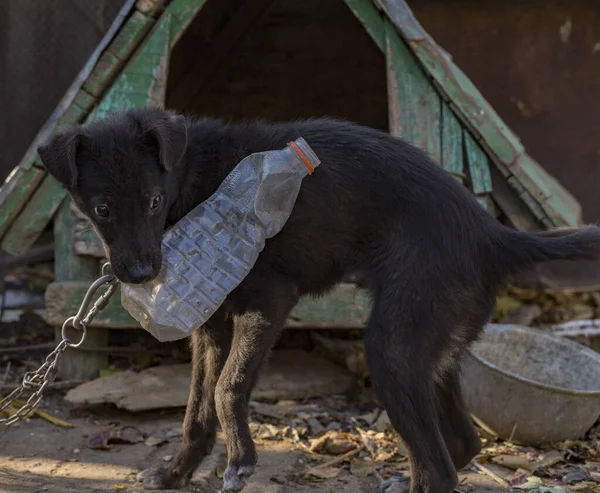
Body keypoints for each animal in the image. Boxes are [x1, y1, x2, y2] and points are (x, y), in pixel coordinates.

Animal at [37, 108, 600, 492]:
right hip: (431, 347)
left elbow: (226, 388)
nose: (140, 274)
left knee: (440, 468)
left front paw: (240, 460)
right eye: (102, 209)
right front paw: (176, 473)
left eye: (153, 201)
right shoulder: (211, 326)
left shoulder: (269, 300)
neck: (193, 179)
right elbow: (195, 409)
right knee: (463, 443)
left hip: (393, 347)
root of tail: (492, 234)